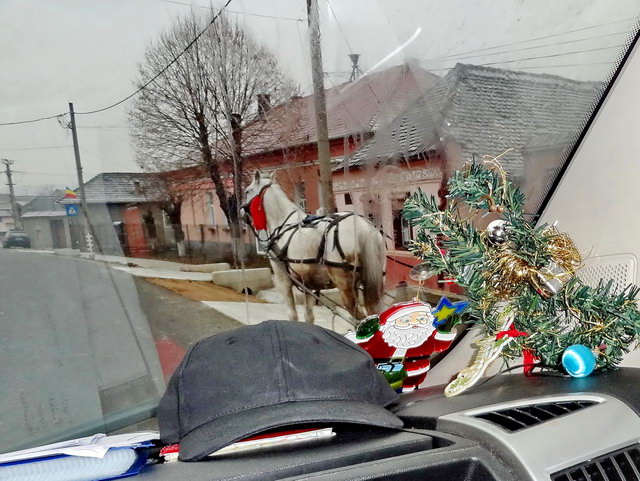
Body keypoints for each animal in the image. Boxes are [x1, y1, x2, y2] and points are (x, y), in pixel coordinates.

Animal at [244, 169, 384, 322]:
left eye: (246, 191)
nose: (240, 211)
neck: (283, 222)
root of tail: (363, 226)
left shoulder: (283, 279)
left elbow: (292, 315)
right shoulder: (308, 283)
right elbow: (309, 316)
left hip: (345, 285)